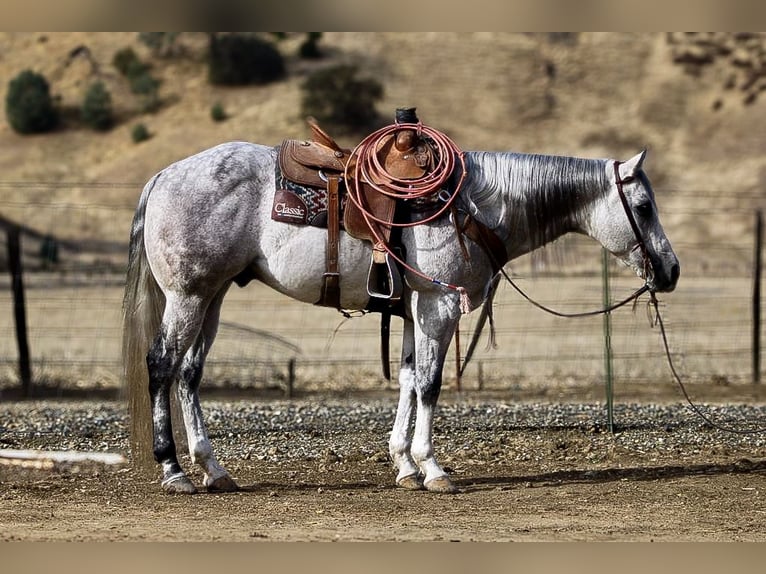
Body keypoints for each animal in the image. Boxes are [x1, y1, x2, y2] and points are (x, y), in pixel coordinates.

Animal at [122, 142, 680, 494]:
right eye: (644, 206)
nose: (671, 270)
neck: (472, 206)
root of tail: (163, 176)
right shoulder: (438, 304)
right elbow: (430, 384)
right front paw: (433, 468)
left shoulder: (413, 309)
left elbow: (410, 379)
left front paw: (404, 463)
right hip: (188, 295)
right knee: (162, 365)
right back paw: (173, 470)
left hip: (211, 297)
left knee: (190, 374)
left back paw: (213, 468)